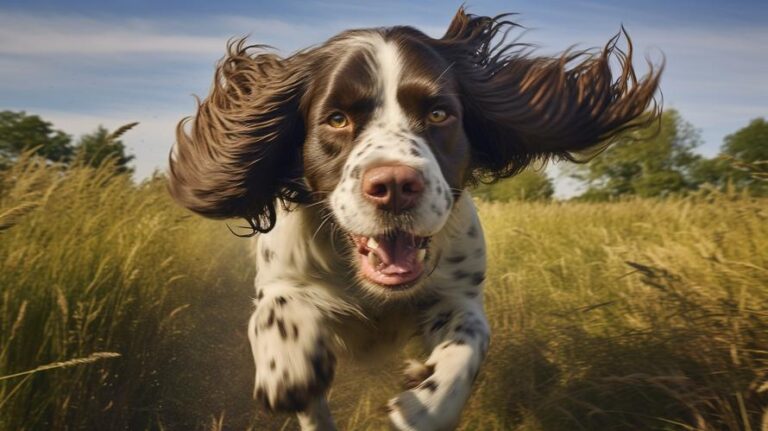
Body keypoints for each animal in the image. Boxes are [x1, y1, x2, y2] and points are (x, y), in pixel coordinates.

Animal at [168, 7, 660, 431]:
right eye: (337, 119)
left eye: (439, 113)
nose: (394, 185)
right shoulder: (281, 278)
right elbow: (279, 310)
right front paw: (287, 369)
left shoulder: (459, 295)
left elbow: (469, 339)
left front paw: (425, 404)